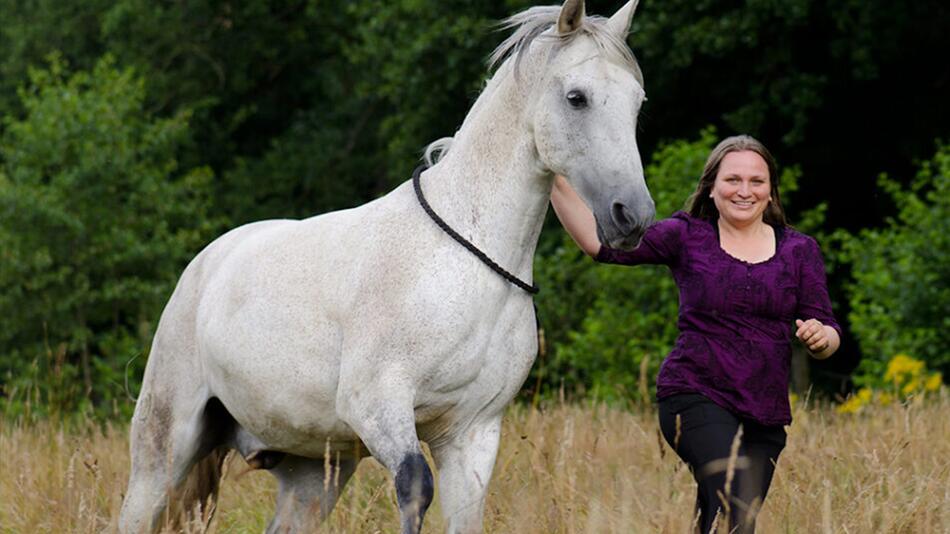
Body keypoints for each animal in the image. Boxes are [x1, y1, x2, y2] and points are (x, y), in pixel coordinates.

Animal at [119, 2, 656, 532]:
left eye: (637, 103)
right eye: (576, 98)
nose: (632, 216)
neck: (466, 263)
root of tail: (204, 266)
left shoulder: (472, 433)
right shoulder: (377, 406)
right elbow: (415, 486)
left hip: (314, 472)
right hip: (161, 453)